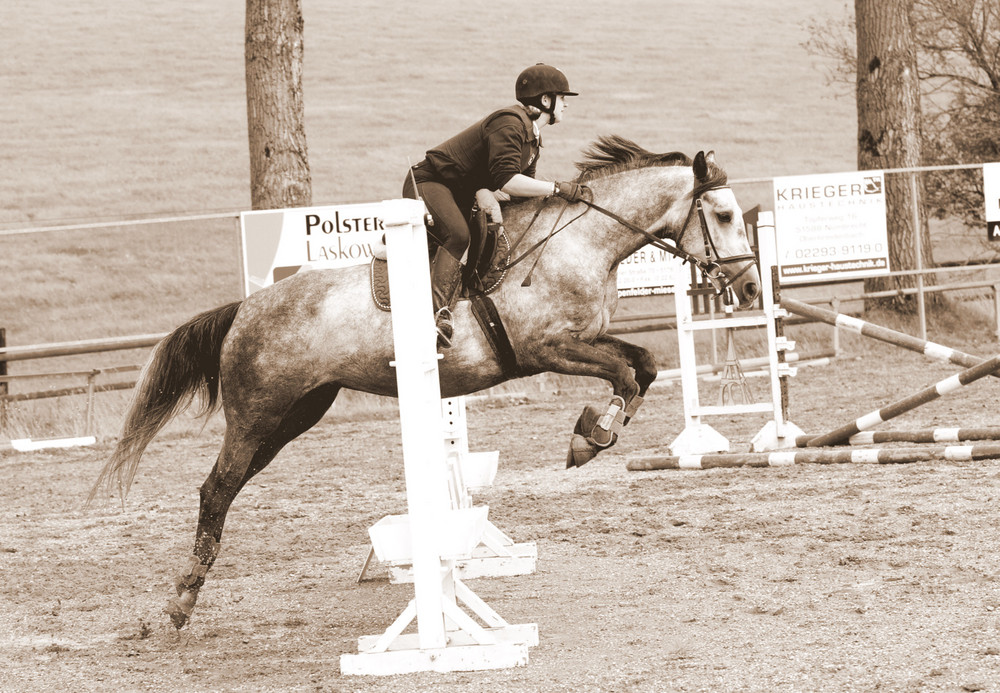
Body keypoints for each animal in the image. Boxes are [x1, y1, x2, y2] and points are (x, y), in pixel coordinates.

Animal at [90, 135, 756, 628]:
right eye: (724, 215)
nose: (749, 288)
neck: (580, 242)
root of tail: (243, 310)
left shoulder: (583, 343)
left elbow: (642, 365)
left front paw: (593, 433)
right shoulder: (549, 349)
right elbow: (624, 371)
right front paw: (590, 438)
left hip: (296, 414)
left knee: (228, 487)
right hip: (258, 412)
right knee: (215, 489)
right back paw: (181, 601)